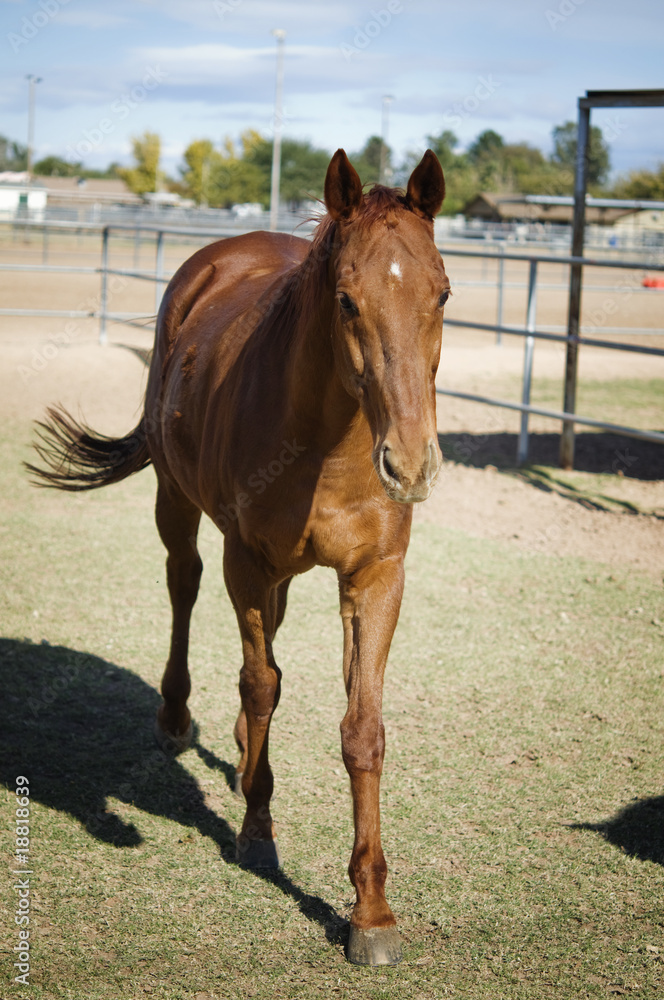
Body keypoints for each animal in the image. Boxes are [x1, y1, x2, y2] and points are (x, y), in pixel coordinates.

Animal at [27, 148, 450, 966]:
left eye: (443, 293)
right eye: (346, 301)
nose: (411, 464)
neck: (330, 443)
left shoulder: (376, 578)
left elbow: (362, 731)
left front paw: (371, 913)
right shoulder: (246, 561)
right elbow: (260, 684)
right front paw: (257, 831)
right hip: (178, 505)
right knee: (183, 587)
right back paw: (178, 719)